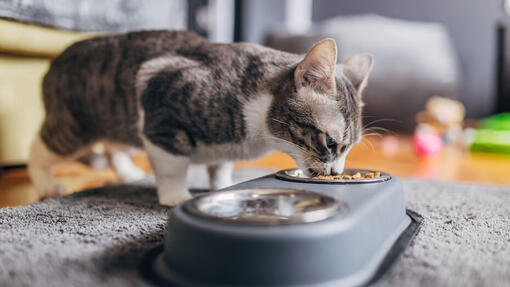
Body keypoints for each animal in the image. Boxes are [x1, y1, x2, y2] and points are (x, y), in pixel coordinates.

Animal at [27, 30, 372, 206]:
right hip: (75, 126)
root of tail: (56, 58)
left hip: (117, 123)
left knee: (115, 146)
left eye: (350, 147)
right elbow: (171, 167)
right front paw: (176, 197)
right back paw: (46, 183)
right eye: (331, 142)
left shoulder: (222, 148)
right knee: (40, 148)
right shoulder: (159, 90)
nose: (336, 172)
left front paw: (221, 186)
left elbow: (219, 168)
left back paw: (126, 171)